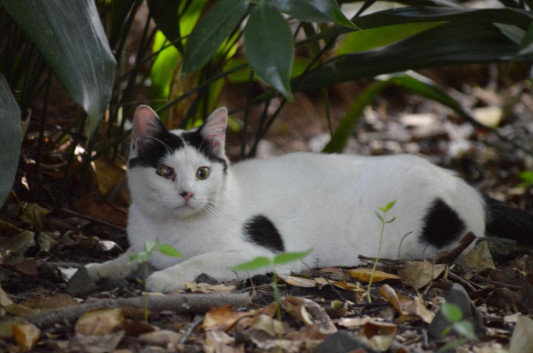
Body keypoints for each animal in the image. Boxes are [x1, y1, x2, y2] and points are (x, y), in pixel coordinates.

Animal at [85, 104, 532, 292]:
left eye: (202, 172)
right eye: (164, 172)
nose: (187, 194)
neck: (168, 230)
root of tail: (463, 184)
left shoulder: (265, 253)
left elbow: (193, 263)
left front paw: (161, 277)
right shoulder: (141, 242)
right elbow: (127, 258)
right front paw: (98, 268)